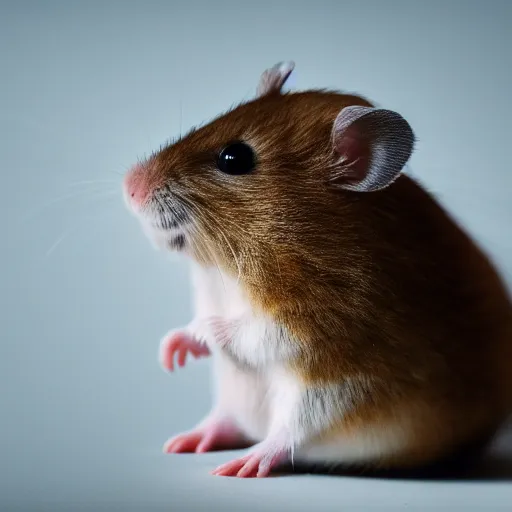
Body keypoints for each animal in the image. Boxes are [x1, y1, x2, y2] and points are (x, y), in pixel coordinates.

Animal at [124, 62, 512, 478]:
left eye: (234, 158)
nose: (129, 185)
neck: (222, 271)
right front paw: (171, 353)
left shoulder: (311, 324)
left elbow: (241, 330)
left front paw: (194, 337)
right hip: (239, 395)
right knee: (228, 421)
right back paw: (189, 440)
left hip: (324, 400)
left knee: (287, 437)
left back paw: (245, 462)